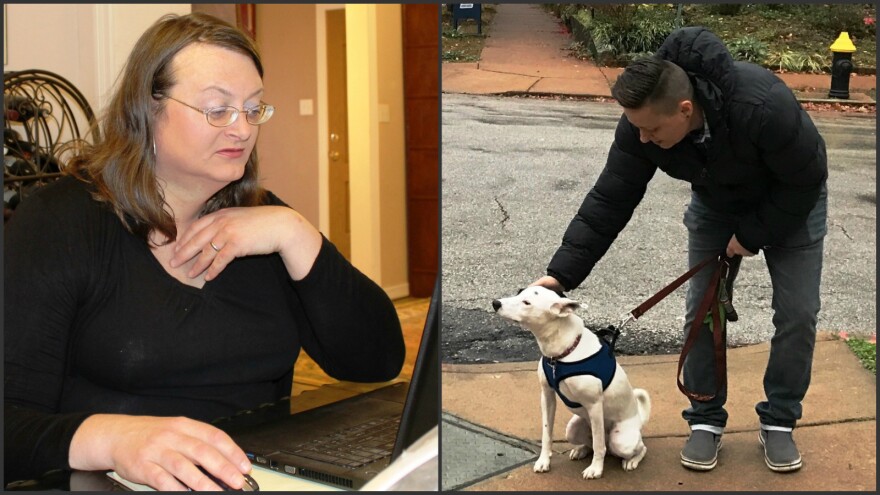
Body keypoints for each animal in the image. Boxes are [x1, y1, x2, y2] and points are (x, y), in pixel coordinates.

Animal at [492, 286, 648, 480]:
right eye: (519, 292)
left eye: (527, 302)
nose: (495, 303)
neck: (561, 354)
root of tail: (639, 420)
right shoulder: (547, 396)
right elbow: (547, 433)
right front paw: (544, 460)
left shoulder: (595, 405)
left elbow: (599, 445)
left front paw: (596, 469)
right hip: (572, 429)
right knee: (591, 442)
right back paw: (580, 450)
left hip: (621, 441)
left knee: (633, 447)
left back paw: (632, 460)